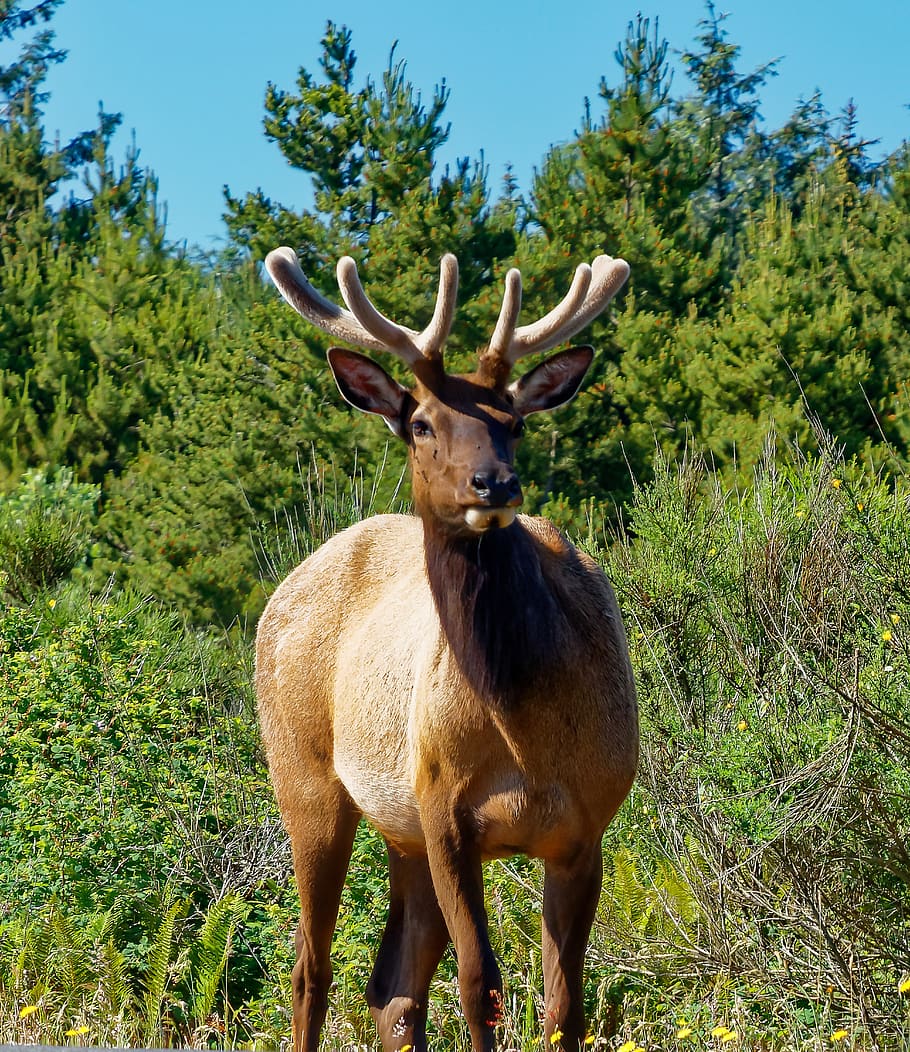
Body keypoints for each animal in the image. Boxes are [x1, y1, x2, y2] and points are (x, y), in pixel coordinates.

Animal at [256, 245, 639, 1052]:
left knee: (391, 987)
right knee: (310, 970)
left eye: (514, 422)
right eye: (424, 424)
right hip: (307, 779)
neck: (522, 723)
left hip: (402, 834)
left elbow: (565, 1004)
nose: (494, 483)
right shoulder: (448, 812)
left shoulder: (586, 824)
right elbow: (479, 986)